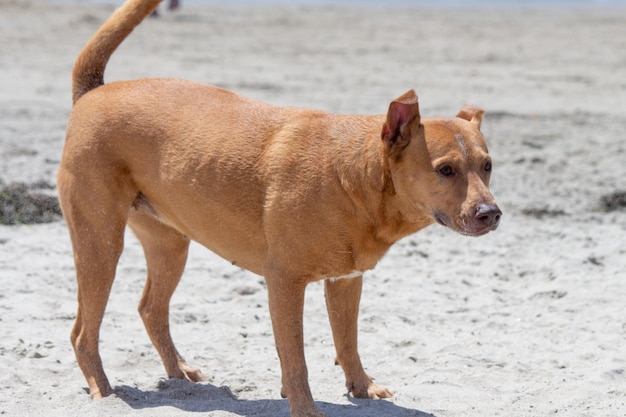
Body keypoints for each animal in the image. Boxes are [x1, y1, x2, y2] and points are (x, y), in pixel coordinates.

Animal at [57, 0, 498, 416]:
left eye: (488, 166)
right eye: (445, 170)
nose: (491, 214)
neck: (354, 177)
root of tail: (93, 93)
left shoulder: (346, 281)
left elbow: (347, 342)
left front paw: (362, 387)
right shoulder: (284, 283)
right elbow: (295, 359)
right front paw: (304, 408)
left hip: (170, 246)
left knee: (150, 308)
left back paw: (178, 371)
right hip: (100, 246)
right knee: (82, 332)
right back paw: (103, 391)